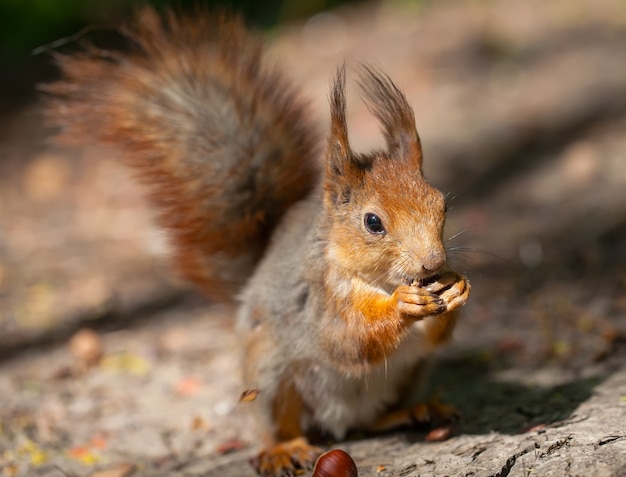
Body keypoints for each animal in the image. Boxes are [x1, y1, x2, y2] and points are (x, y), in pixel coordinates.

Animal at [42, 8, 468, 476]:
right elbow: (346, 339)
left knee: (374, 419)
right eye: (372, 222)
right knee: (279, 426)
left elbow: (431, 337)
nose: (432, 262)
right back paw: (283, 449)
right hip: (270, 372)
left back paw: (413, 411)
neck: (379, 281)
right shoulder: (316, 298)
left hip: (409, 374)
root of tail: (339, 423)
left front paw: (458, 288)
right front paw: (403, 307)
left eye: (442, 204)